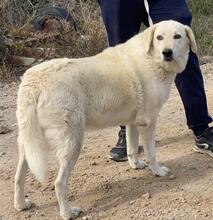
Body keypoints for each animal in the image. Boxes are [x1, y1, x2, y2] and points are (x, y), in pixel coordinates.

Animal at [13, 20, 196, 218]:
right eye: (159, 37)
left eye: (177, 36)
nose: (167, 52)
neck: (152, 58)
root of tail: (35, 81)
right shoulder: (149, 122)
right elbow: (151, 153)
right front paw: (158, 171)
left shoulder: (133, 123)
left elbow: (132, 147)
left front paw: (135, 165)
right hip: (73, 141)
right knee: (59, 183)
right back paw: (68, 212)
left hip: (28, 143)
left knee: (18, 177)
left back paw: (21, 204)